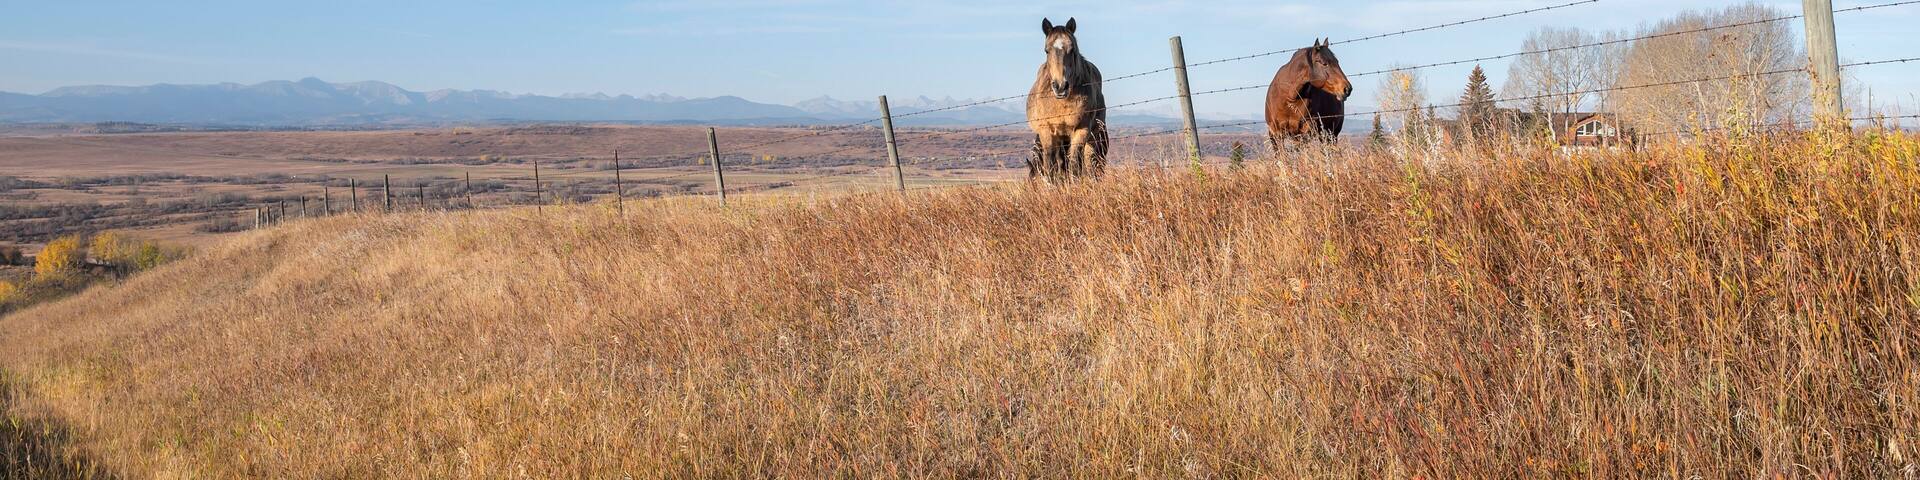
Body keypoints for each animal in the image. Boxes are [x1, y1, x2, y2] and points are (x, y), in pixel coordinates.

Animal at [1026, 17, 1108, 182]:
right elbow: (1050, 166)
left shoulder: (1081, 130)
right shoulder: (1047, 132)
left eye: (1072, 50)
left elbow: (1075, 166)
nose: (1060, 86)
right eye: (1046, 50)